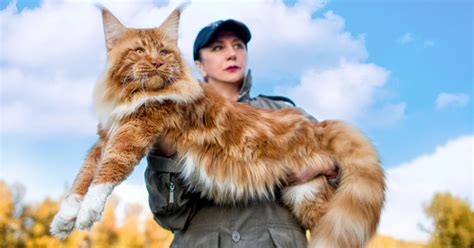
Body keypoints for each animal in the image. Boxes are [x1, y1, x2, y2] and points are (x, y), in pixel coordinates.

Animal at [51, 6, 386, 248]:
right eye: (139, 51)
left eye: (164, 52)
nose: (158, 64)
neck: (133, 94)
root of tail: (317, 125)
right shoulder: (107, 133)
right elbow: (84, 174)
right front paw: (65, 217)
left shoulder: (137, 127)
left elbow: (109, 169)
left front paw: (87, 212)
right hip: (304, 195)